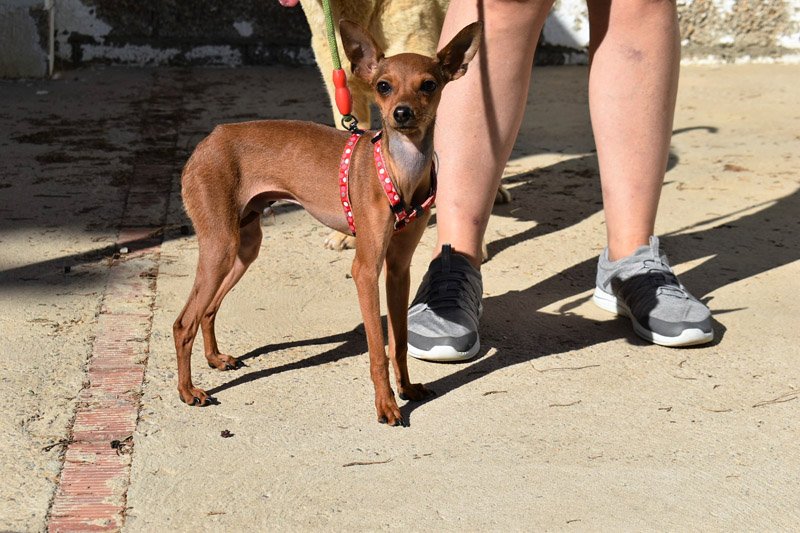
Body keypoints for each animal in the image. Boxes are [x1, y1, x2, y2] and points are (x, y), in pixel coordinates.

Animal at [173, 20, 482, 426]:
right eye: (383, 86)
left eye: (428, 85)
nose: (401, 113)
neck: (400, 169)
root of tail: (208, 140)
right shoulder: (365, 269)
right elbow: (378, 350)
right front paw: (386, 405)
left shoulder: (398, 270)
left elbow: (398, 343)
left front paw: (407, 389)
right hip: (220, 247)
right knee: (184, 323)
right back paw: (187, 391)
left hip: (243, 248)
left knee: (207, 310)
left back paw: (214, 358)